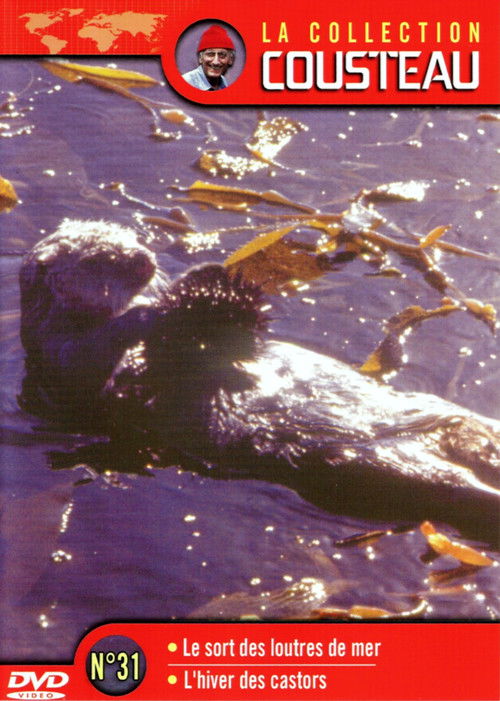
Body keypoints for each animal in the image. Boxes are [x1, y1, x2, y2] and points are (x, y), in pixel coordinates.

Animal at [19, 221, 500, 543]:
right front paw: (167, 307)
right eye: (101, 258)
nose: (146, 259)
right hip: (377, 463)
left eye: (135, 239)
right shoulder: (64, 358)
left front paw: (205, 279)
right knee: (454, 483)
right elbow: (102, 353)